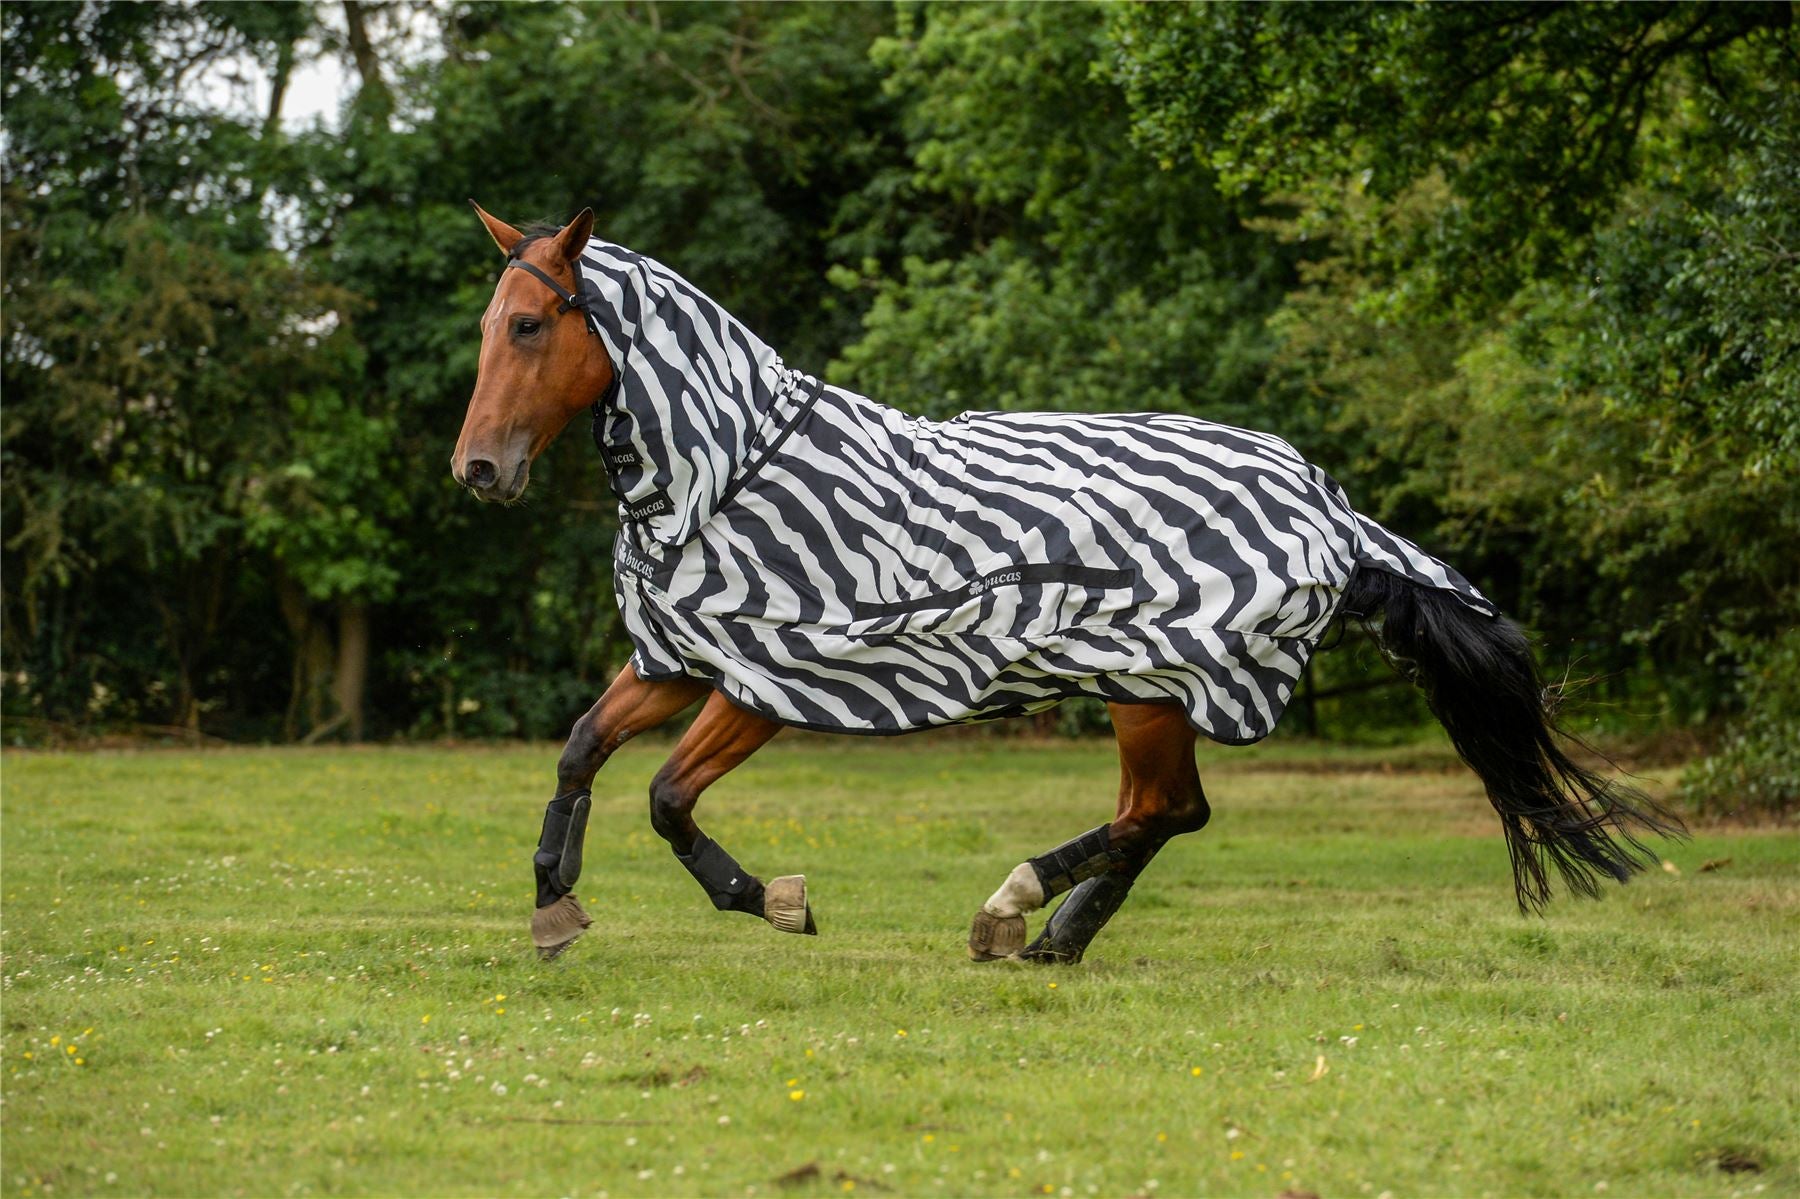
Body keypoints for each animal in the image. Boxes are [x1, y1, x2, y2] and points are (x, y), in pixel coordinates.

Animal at [451, 203, 1684, 964]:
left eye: (530, 323)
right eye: (487, 325)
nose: (479, 470)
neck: (732, 468)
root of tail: (1326, 501)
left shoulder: (769, 675)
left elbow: (668, 795)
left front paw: (772, 901)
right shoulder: (676, 657)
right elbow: (581, 749)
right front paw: (555, 900)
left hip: (1154, 682)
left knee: (1163, 810)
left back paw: (1017, 907)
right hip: (1150, 693)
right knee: (1164, 814)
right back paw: (1051, 935)